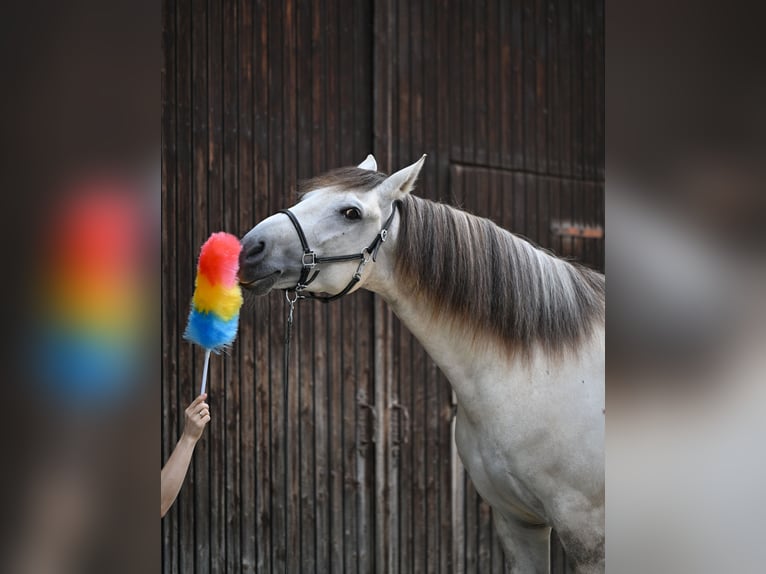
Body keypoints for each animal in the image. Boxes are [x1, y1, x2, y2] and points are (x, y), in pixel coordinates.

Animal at [240, 155, 608, 572]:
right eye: (306, 198)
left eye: (351, 212)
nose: (249, 249)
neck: (535, 378)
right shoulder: (518, 525)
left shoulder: (588, 538)